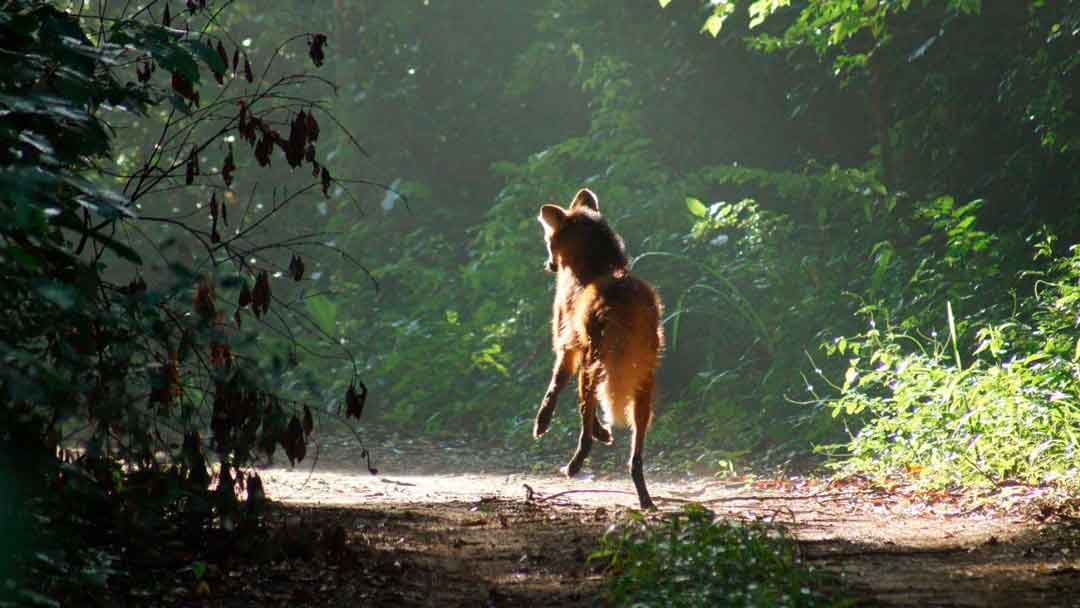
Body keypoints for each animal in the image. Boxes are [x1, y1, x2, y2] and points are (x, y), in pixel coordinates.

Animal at [529, 188, 656, 509]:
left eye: (547, 240)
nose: (548, 265)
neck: (598, 266)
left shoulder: (568, 346)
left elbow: (556, 387)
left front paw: (542, 423)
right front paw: (606, 433)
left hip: (593, 364)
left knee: (584, 425)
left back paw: (574, 466)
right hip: (645, 384)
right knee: (635, 458)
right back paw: (645, 498)